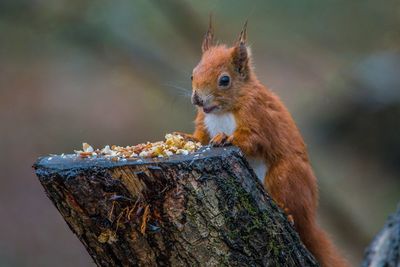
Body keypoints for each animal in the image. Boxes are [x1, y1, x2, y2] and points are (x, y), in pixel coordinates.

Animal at [178, 19, 350, 267]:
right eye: (193, 75)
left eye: (224, 80)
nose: (197, 99)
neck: (223, 111)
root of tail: (311, 219)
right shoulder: (204, 121)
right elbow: (201, 137)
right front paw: (185, 137)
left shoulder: (258, 118)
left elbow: (253, 140)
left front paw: (226, 138)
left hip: (285, 176)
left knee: (293, 209)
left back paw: (287, 212)